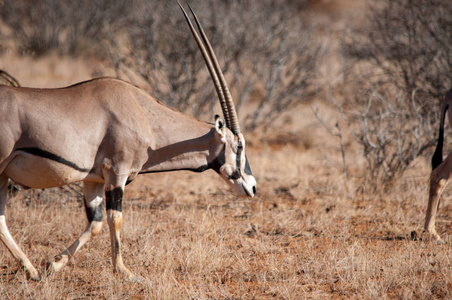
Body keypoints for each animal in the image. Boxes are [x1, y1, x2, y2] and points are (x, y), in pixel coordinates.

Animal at [0, 2, 256, 282]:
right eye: (239, 146)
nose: (253, 187)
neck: (143, 113)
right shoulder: (117, 173)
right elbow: (115, 218)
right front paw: (124, 271)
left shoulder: (93, 180)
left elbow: (96, 223)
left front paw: (53, 264)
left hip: (4, 176)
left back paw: (31, 269)